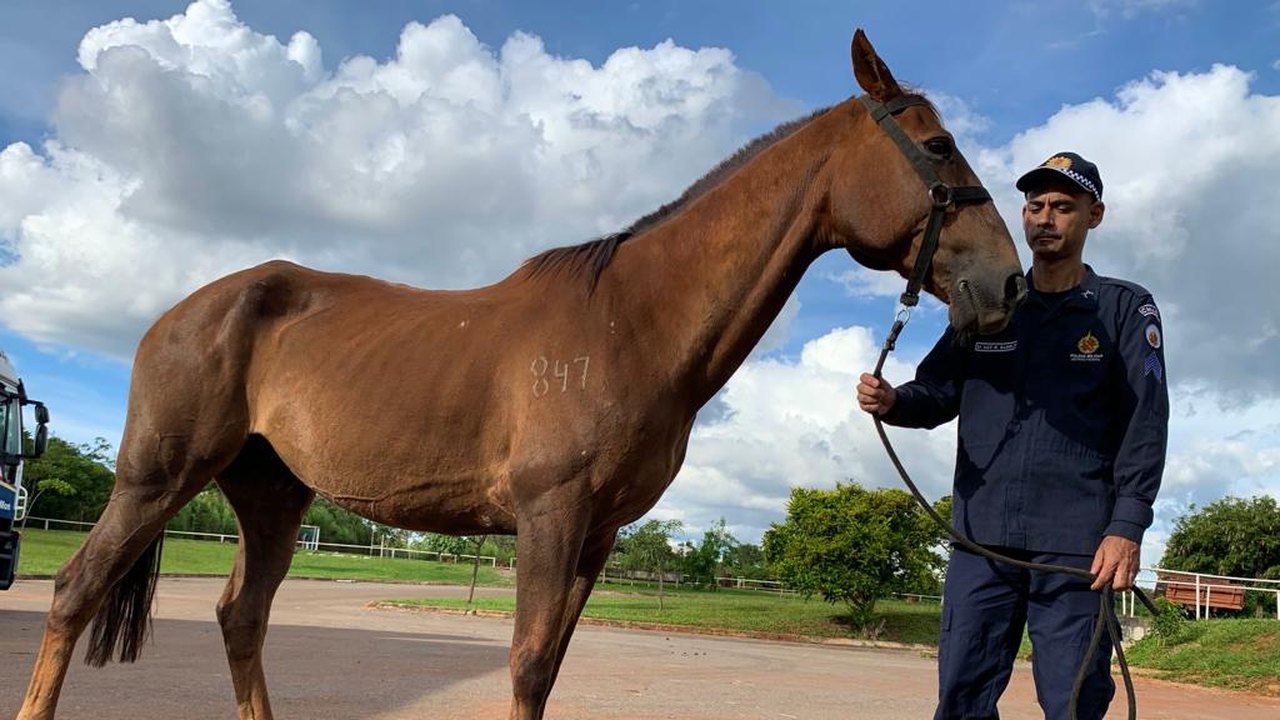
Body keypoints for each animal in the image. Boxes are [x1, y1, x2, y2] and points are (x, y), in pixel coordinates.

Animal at [18, 29, 1025, 720]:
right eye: (938, 148)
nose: (1006, 284)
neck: (630, 322)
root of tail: (183, 310)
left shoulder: (596, 536)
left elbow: (550, 670)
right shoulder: (549, 516)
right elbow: (528, 664)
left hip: (270, 494)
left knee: (241, 617)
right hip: (156, 479)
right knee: (72, 593)